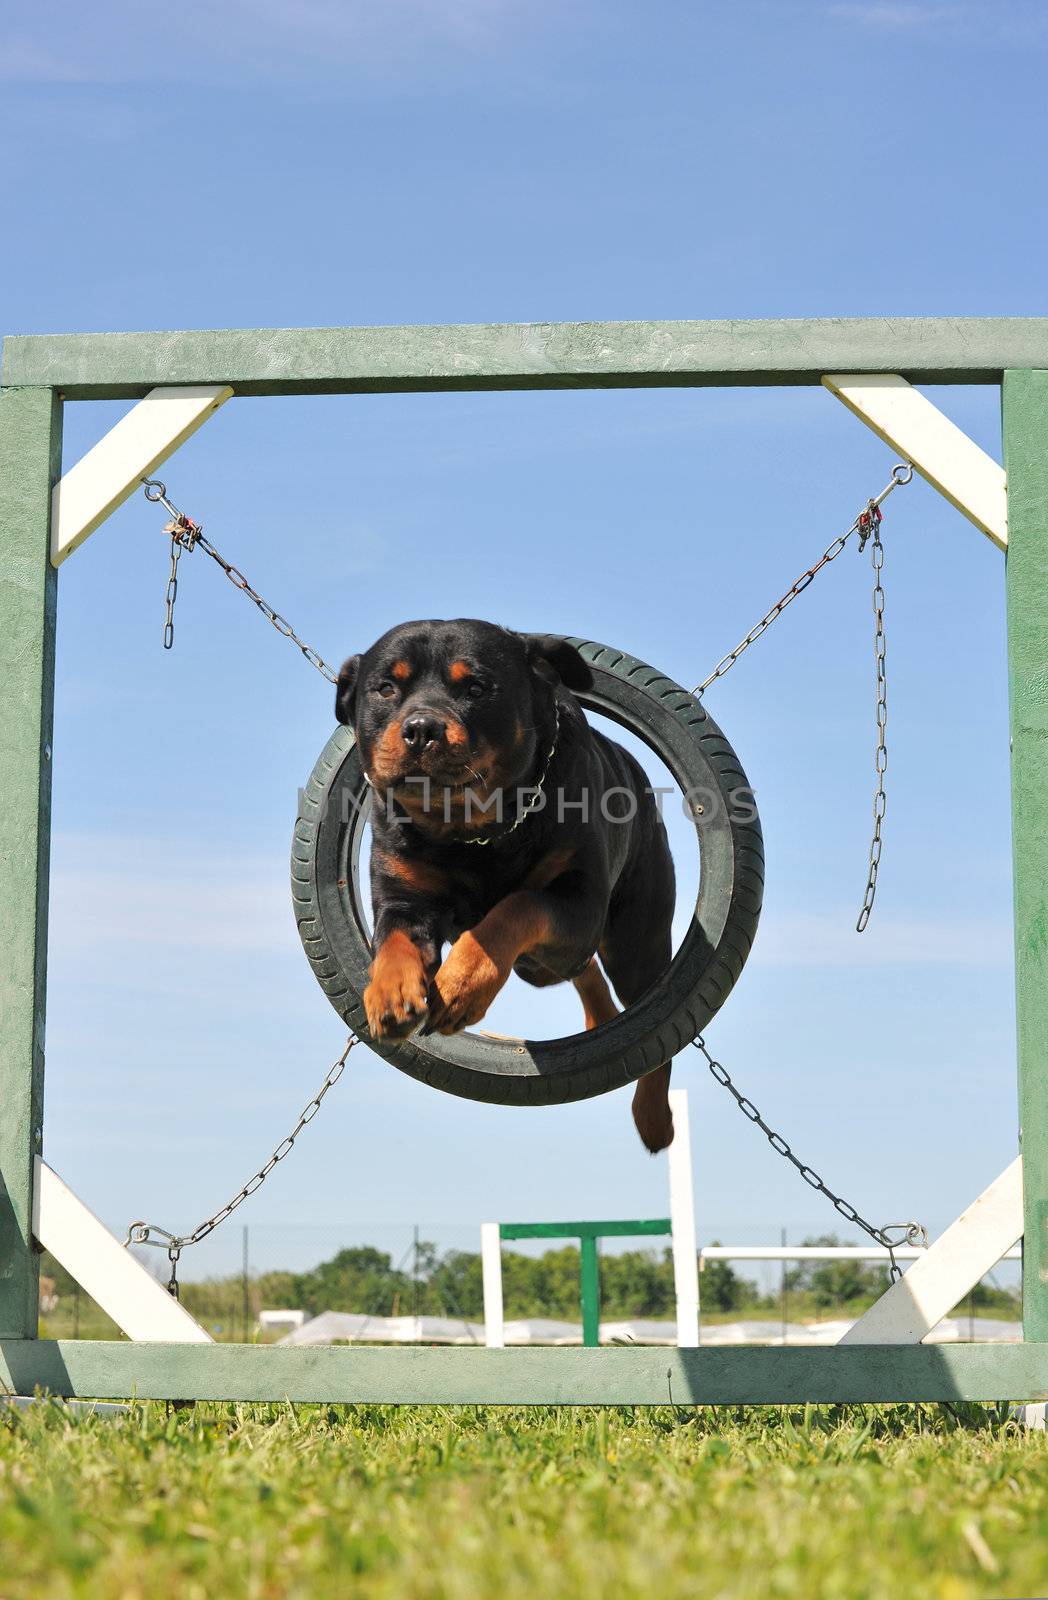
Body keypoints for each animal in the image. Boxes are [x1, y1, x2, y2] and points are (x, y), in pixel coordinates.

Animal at [336, 614, 681, 1152]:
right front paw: (388, 994)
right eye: (386, 688)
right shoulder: (402, 894)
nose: (421, 728)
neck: (471, 833)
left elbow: (516, 907)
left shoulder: (579, 903)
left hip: (635, 939)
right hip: (546, 964)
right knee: (578, 970)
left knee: (655, 1028)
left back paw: (653, 1118)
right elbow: (393, 940)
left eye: (476, 688)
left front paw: (460, 986)